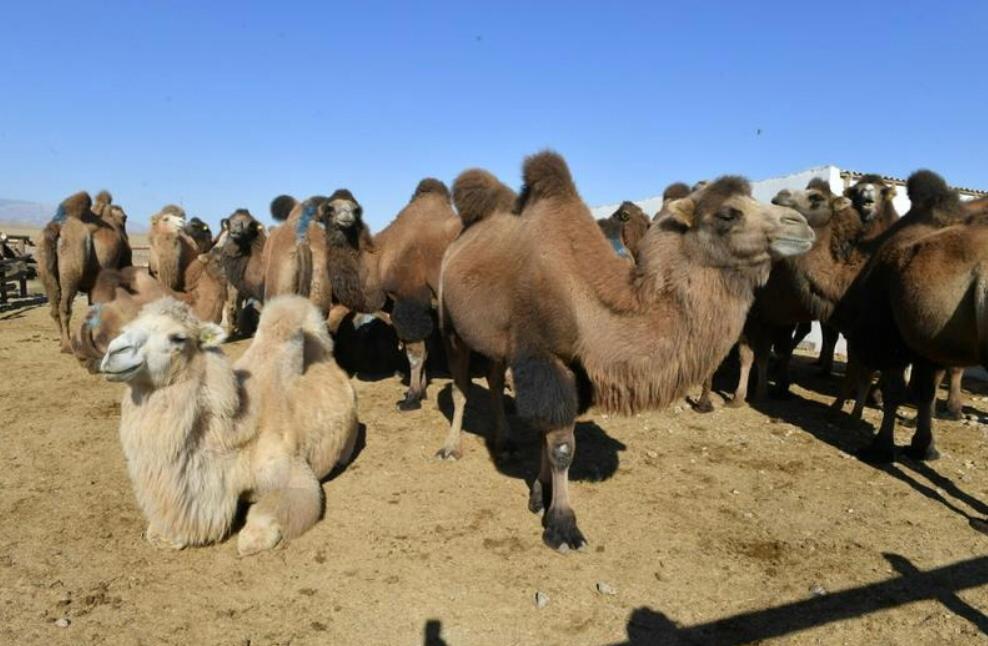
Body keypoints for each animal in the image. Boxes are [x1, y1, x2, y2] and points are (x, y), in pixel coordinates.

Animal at [35, 191, 132, 352]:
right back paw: (68, 345)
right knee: (65, 307)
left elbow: (92, 309)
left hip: (43, 264)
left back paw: (62, 341)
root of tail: (58, 227)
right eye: (125, 218)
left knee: (54, 305)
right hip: (72, 268)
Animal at [99, 296, 358, 556]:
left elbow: (272, 513)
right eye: (126, 327)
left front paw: (253, 538)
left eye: (178, 337)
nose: (114, 352)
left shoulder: (292, 471)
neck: (230, 436)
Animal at [370, 177, 464, 412]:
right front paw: (420, 392)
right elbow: (426, 350)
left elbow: (414, 353)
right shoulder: (427, 308)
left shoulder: (408, 301)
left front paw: (411, 398)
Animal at [438, 153, 812, 552]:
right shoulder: (543, 356)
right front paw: (563, 525)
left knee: (493, 381)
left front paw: (540, 494)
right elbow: (562, 445)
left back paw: (504, 441)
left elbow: (547, 432)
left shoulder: (568, 367)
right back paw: (450, 448)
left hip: (494, 343)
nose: (801, 225)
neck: (589, 298)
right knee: (460, 387)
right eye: (728, 214)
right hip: (451, 328)